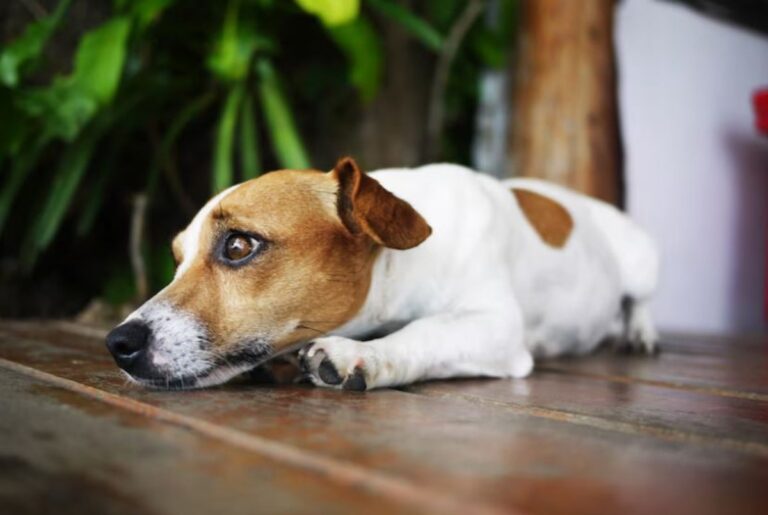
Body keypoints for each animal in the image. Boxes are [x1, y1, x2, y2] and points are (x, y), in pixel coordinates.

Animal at [103, 157, 660, 392]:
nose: (117, 343)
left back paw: (641, 333)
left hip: (641, 259)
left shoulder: (494, 325)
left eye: (239, 245)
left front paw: (359, 356)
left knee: (640, 300)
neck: (398, 260)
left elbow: (425, 333)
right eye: (177, 259)